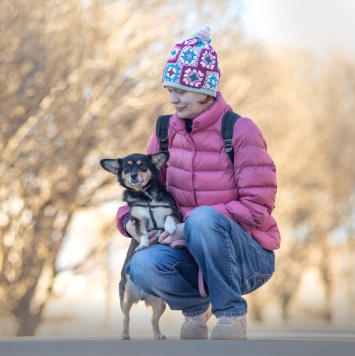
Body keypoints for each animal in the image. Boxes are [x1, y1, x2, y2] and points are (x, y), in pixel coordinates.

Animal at [101, 152, 182, 340]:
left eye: (143, 166)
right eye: (126, 168)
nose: (133, 175)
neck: (146, 197)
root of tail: (143, 293)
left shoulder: (173, 211)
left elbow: (169, 218)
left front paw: (169, 227)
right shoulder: (137, 220)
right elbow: (143, 234)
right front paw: (142, 245)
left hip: (160, 303)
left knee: (153, 319)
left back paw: (158, 335)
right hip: (125, 300)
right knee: (126, 318)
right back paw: (124, 334)